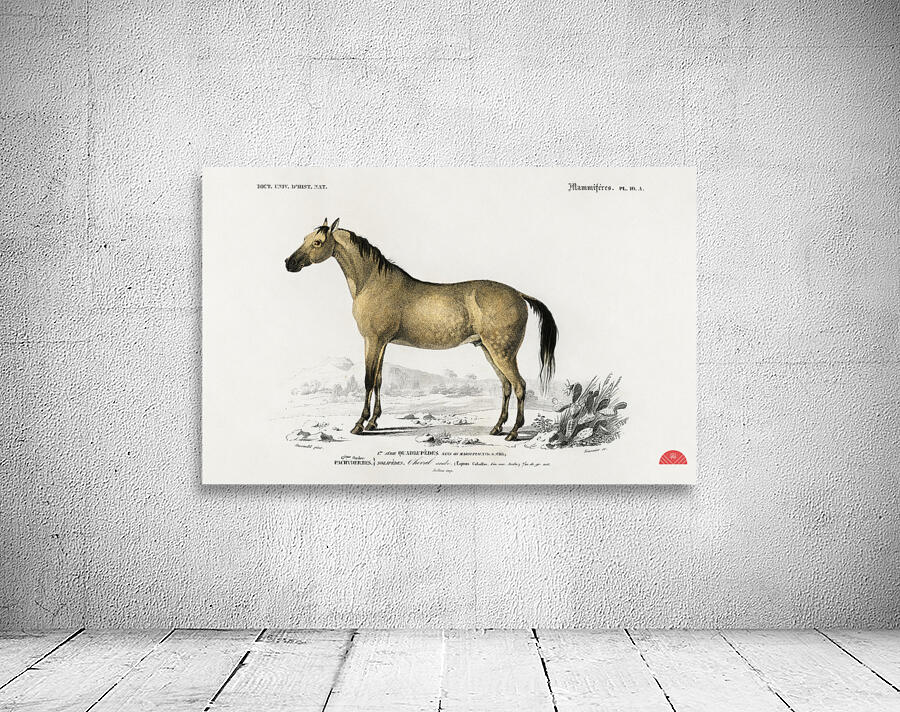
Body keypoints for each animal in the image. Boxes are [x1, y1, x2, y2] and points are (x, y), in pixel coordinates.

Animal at [285, 218, 558, 441]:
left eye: (318, 242)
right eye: (305, 238)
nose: (289, 263)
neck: (372, 282)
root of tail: (519, 294)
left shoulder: (372, 340)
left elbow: (368, 380)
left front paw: (360, 424)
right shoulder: (381, 343)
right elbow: (379, 381)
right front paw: (374, 422)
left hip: (502, 352)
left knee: (519, 385)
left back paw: (513, 432)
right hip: (489, 350)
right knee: (506, 386)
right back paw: (497, 427)